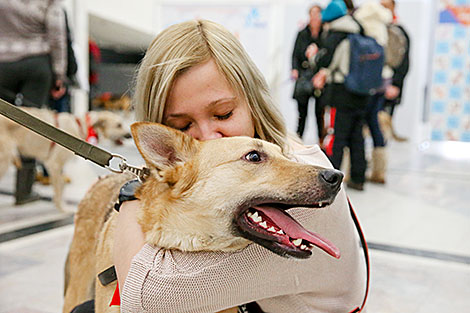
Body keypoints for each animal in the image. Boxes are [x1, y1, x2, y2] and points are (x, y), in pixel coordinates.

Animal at [0, 107, 131, 210]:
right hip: (5, 160)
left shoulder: (58, 167)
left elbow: (62, 185)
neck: (82, 127)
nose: (129, 135)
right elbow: (59, 187)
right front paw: (62, 208)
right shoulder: (54, 164)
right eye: (119, 125)